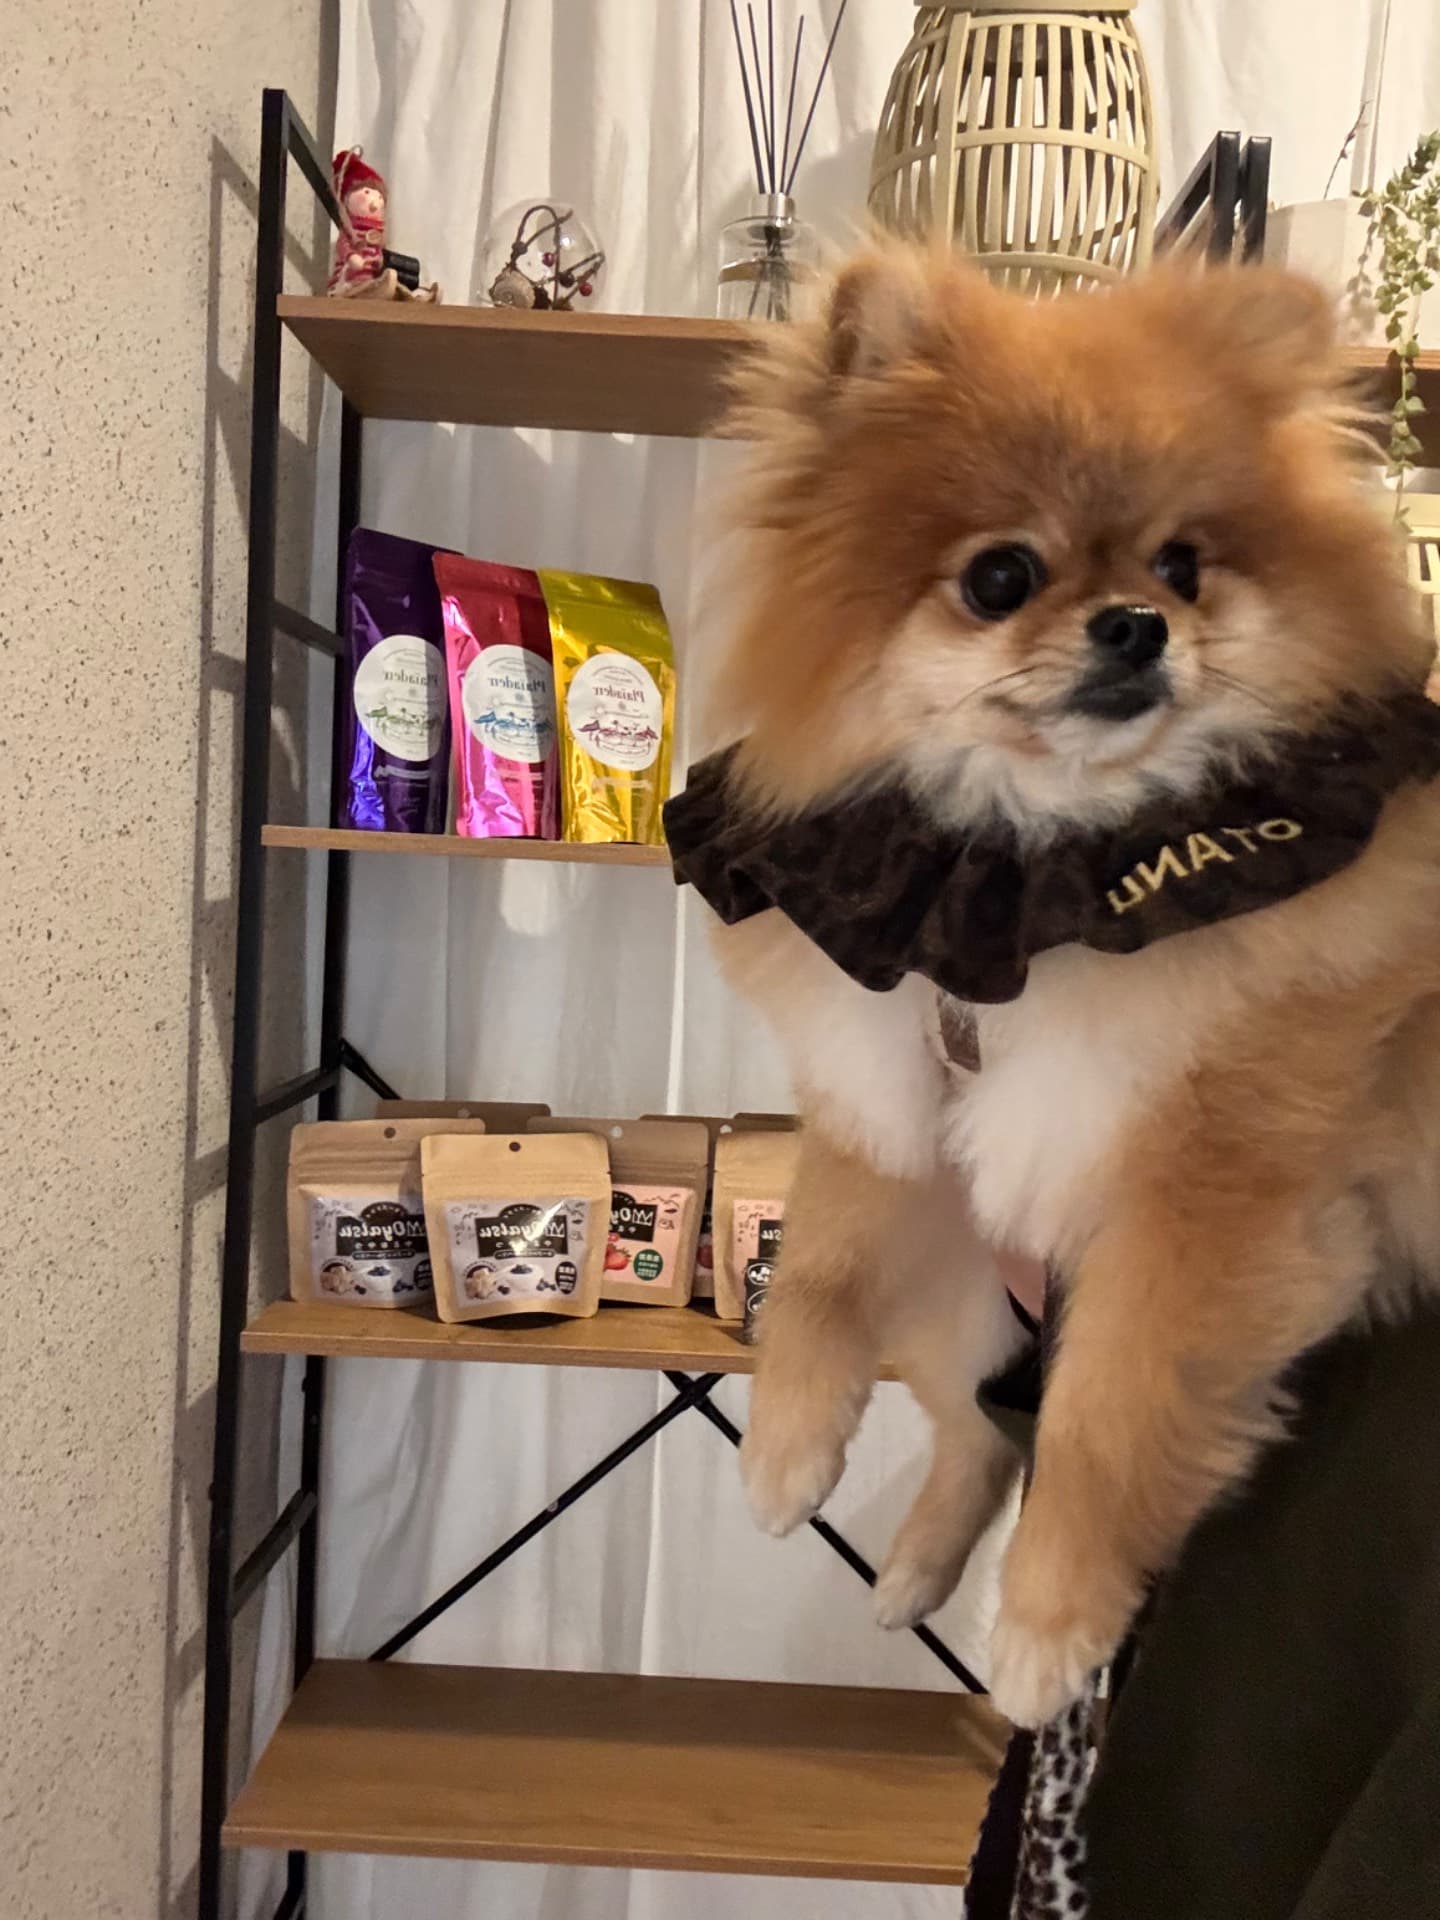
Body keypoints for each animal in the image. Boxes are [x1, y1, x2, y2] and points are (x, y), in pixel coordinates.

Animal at [700, 246, 1440, 1727]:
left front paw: (1049, 1629)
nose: (1139, 623)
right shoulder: (894, 1083)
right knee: (971, 1420)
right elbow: (821, 1258)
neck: (1034, 862)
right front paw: (786, 1443)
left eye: (1184, 566)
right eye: (1000, 575)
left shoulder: (1206, 1204)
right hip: (975, 1281)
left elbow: (1111, 1417)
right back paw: (915, 1567)